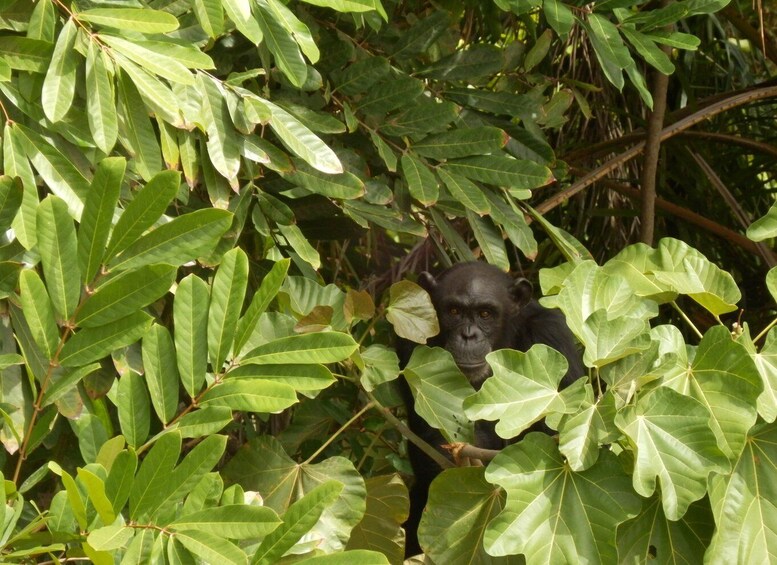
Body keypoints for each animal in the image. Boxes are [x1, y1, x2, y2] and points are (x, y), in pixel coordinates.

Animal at [400, 262, 584, 556]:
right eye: (454, 311)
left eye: (485, 313)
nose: (468, 334)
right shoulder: (412, 341)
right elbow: (432, 435)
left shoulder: (552, 336)